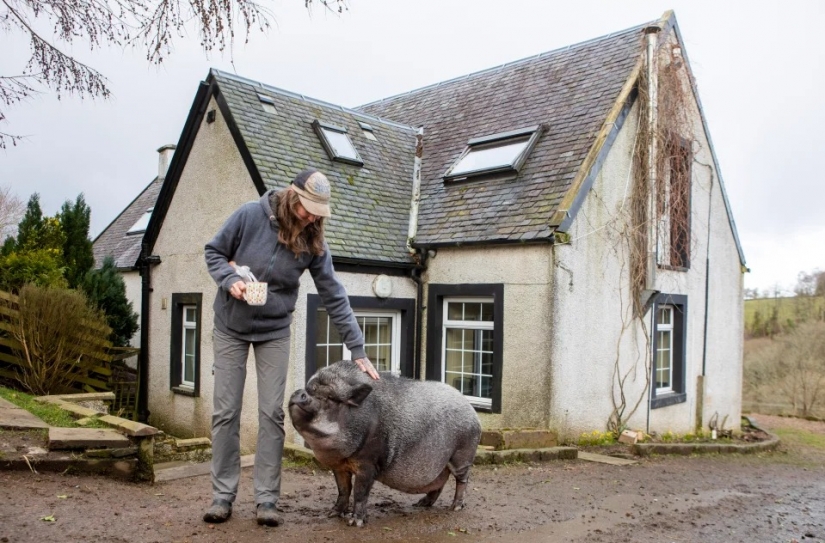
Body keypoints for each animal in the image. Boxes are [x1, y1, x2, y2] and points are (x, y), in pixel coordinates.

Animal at [288, 360, 482, 527]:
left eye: (329, 397)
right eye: (309, 389)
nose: (298, 392)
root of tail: (472, 411)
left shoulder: (369, 463)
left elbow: (359, 492)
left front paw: (355, 523)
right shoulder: (339, 466)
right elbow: (343, 490)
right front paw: (332, 514)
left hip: (463, 454)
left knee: (462, 480)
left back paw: (455, 507)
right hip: (441, 463)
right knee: (439, 483)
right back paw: (420, 504)